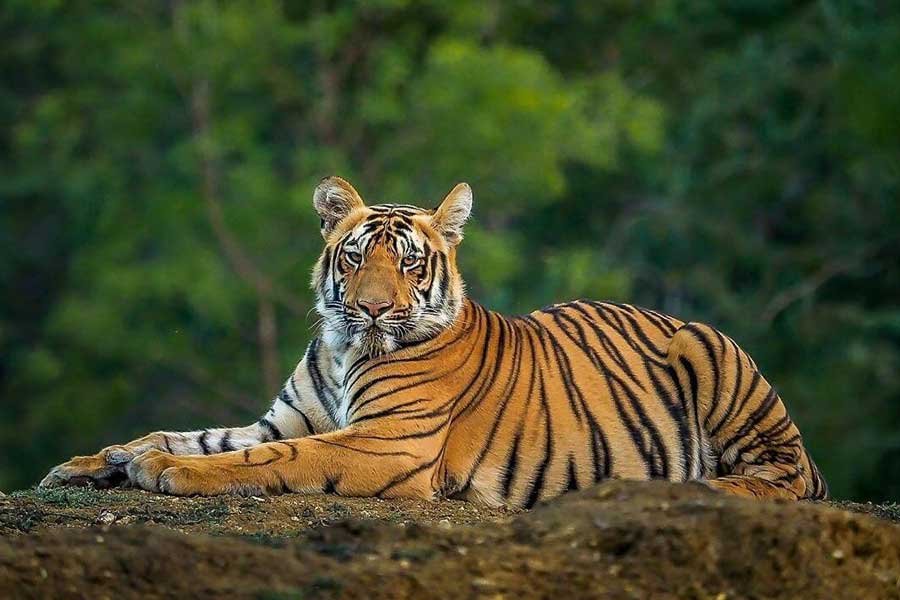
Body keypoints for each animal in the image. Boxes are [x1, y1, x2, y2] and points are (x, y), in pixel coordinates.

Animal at [40, 176, 827, 505]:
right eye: (356, 257)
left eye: (410, 263)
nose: (372, 309)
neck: (343, 347)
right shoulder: (285, 417)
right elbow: (190, 433)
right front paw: (97, 461)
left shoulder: (386, 442)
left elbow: (265, 458)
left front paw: (164, 472)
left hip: (714, 358)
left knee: (784, 479)